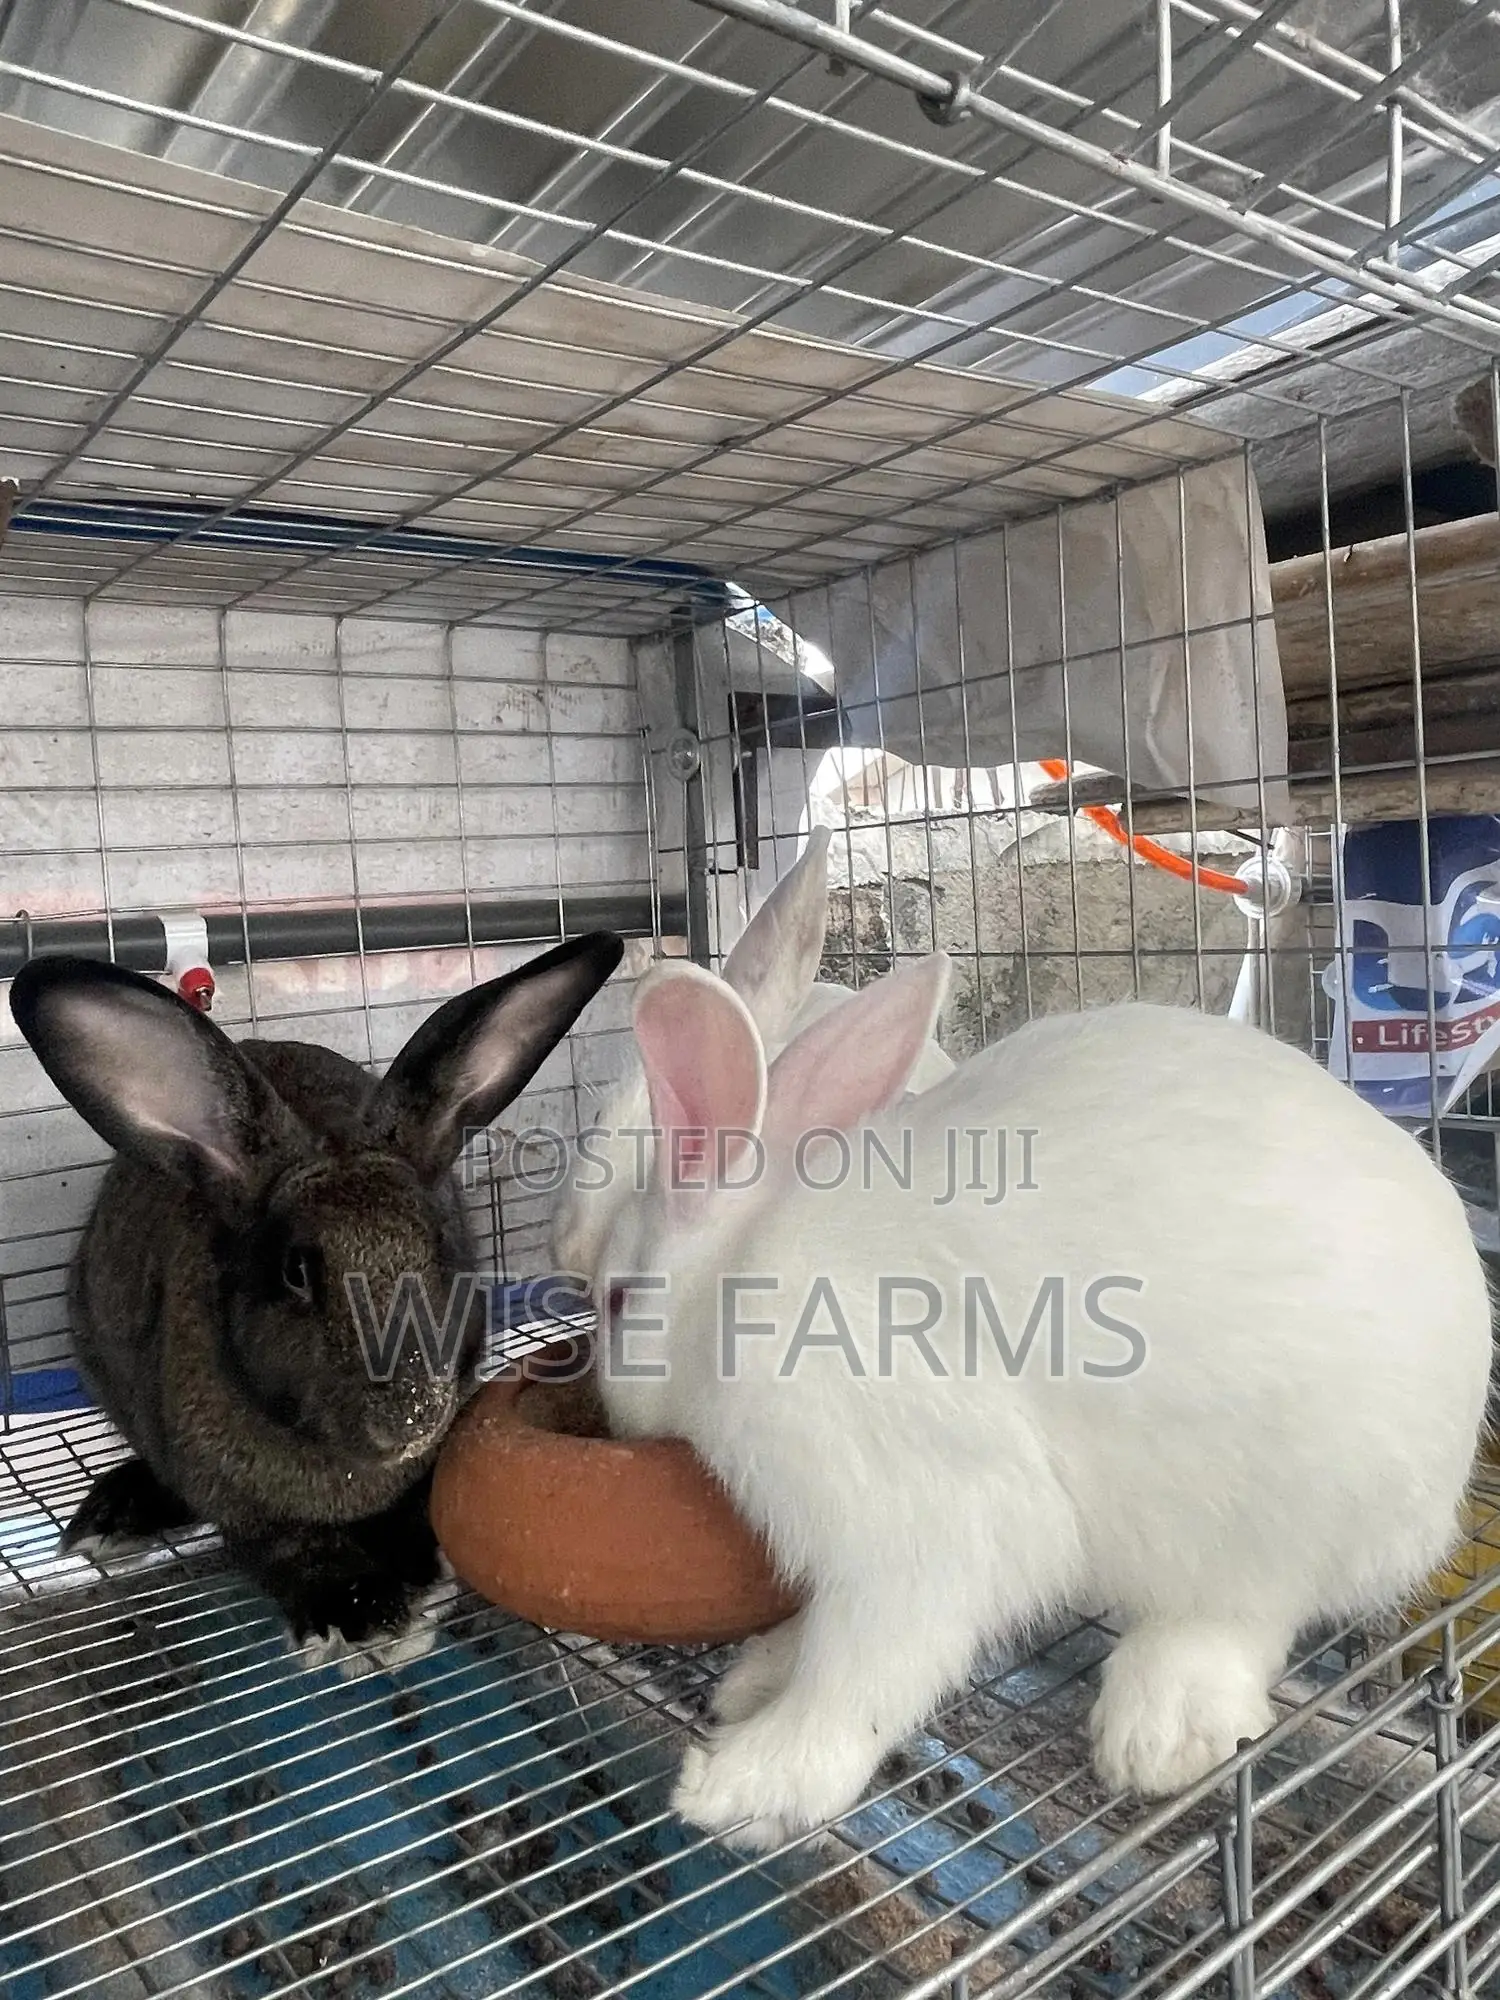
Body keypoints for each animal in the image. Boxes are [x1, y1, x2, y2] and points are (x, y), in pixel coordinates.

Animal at [9, 932, 623, 1659]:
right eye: (296, 1272)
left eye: (441, 1248)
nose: (412, 1416)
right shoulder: (240, 1504)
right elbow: (289, 1549)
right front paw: (360, 1610)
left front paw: (419, 1568)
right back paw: (115, 1513)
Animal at [591, 953, 1492, 1851]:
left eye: (615, 1300)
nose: (612, 1416)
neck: (729, 1282)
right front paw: (761, 1682)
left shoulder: (915, 1503)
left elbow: (863, 1672)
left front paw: (742, 1788)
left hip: (1271, 1513)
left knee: (1246, 1612)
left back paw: (1158, 1733)